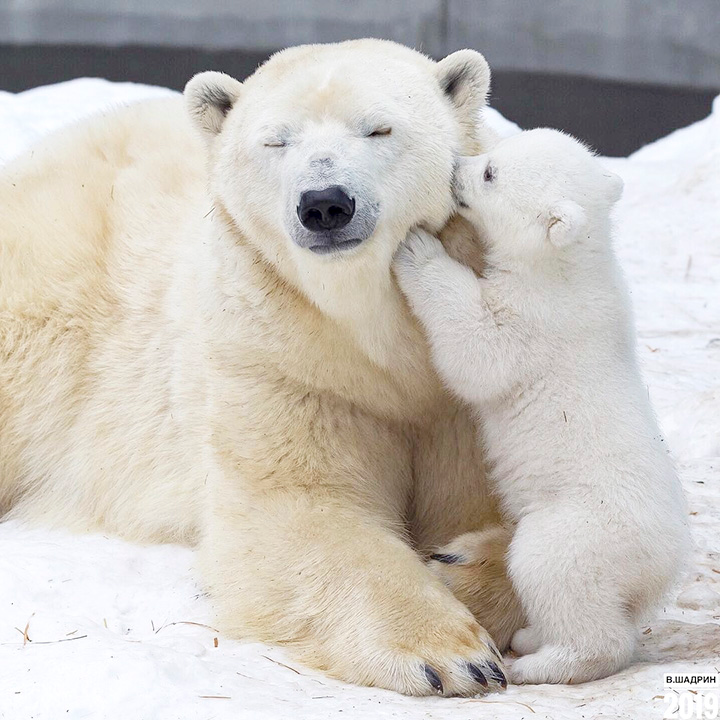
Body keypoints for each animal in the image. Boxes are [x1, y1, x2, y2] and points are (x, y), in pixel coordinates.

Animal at [0, 40, 524, 696]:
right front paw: (451, 652)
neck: (375, 331)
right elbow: (297, 508)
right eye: (276, 141)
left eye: (379, 128)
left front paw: (457, 568)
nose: (325, 204)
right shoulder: (281, 359)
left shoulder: (471, 386)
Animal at [394, 129, 692, 688]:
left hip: (583, 530)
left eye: (490, 173)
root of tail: (663, 568)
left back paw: (541, 660)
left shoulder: (534, 319)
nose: (455, 165)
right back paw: (536, 636)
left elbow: (479, 352)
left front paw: (416, 249)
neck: (569, 266)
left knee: (551, 572)